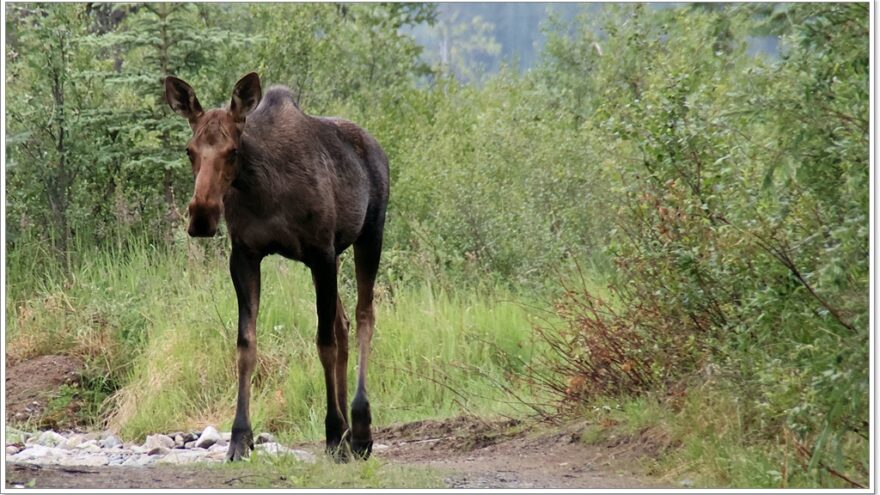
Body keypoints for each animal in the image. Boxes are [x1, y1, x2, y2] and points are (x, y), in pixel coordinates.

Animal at [164, 72, 388, 462]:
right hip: (338, 253)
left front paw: (332, 432)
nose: (202, 216)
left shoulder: (320, 252)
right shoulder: (245, 254)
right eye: (189, 150)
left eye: (233, 151)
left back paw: (359, 430)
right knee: (344, 322)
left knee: (363, 316)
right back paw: (349, 431)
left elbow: (324, 342)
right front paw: (240, 437)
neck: (262, 187)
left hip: (369, 235)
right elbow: (246, 344)